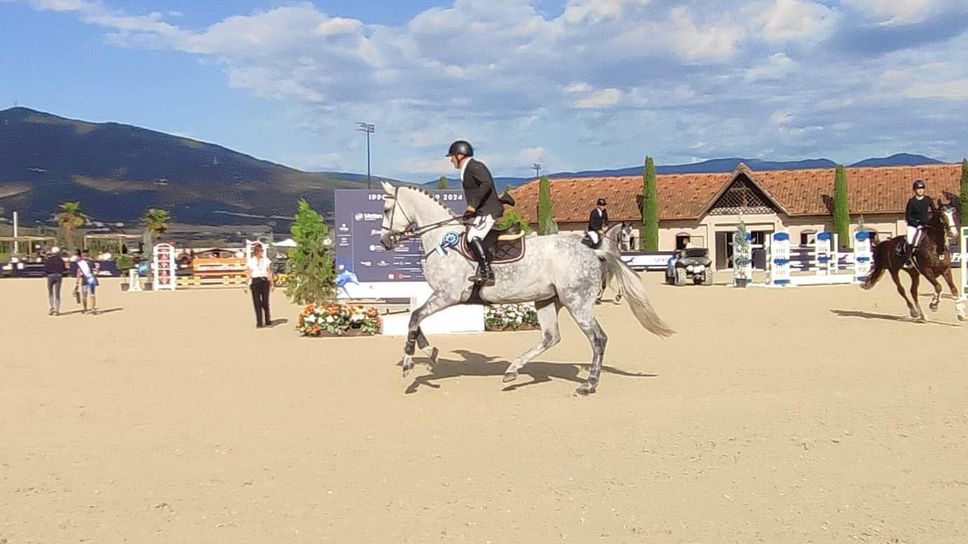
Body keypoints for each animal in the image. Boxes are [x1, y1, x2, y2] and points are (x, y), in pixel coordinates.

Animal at [378, 183, 672, 396]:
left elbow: (415, 317)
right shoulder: (441, 296)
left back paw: (588, 385)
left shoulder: (447, 295)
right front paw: (430, 352)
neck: (443, 240)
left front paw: (409, 363)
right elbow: (416, 319)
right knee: (551, 337)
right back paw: (512, 370)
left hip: (576, 303)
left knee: (598, 339)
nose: (384, 242)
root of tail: (593, 251)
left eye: (386, 209)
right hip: (547, 300)